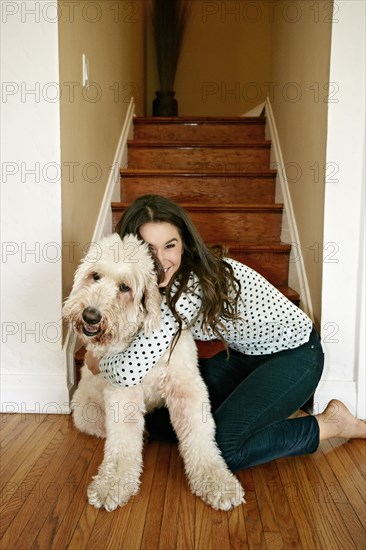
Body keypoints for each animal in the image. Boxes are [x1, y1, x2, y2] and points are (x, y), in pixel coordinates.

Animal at [63, 235, 246, 516]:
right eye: (95, 276)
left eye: (125, 287)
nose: (90, 315)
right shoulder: (123, 393)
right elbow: (122, 443)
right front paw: (112, 484)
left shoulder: (185, 387)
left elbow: (200, 435)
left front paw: (217, 482)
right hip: (86, 413)